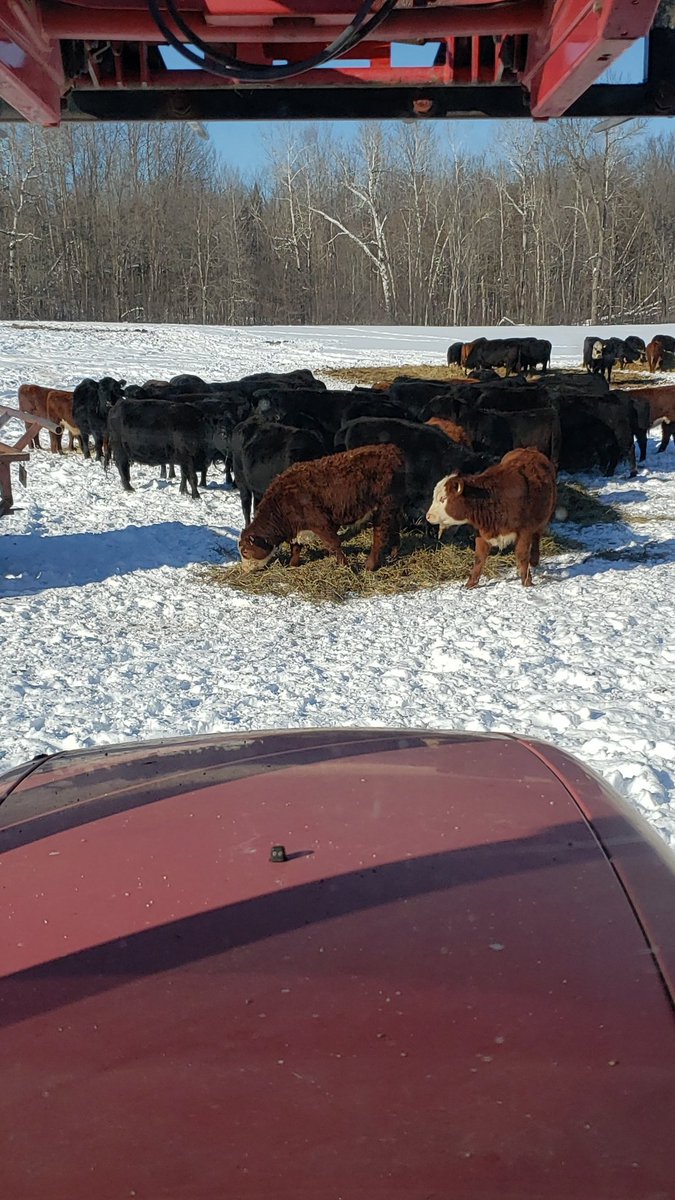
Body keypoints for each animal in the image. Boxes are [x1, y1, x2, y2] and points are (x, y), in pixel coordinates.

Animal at [238, 444, 407, 573]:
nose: (244, 570)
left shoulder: (321, 524)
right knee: (394, 530)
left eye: (245, 551)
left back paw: (370, 565)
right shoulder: (296, 528)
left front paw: (346, 567)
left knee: (380, 536)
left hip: (383, 508)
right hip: (392, 508)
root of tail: (391, 450)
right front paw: (293, 565)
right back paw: (393, 555)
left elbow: (333, 544)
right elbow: (296, 548)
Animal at [425, 448, 557, 589]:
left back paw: (534, 560)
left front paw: (527, 581)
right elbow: (479, 557)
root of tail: (529, 449)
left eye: (443, 498)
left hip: (544, 518)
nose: (428, 516)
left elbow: (522, 555)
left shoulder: (525, 531)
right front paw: (470, 583)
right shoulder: (481, 532)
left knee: (537, 536)